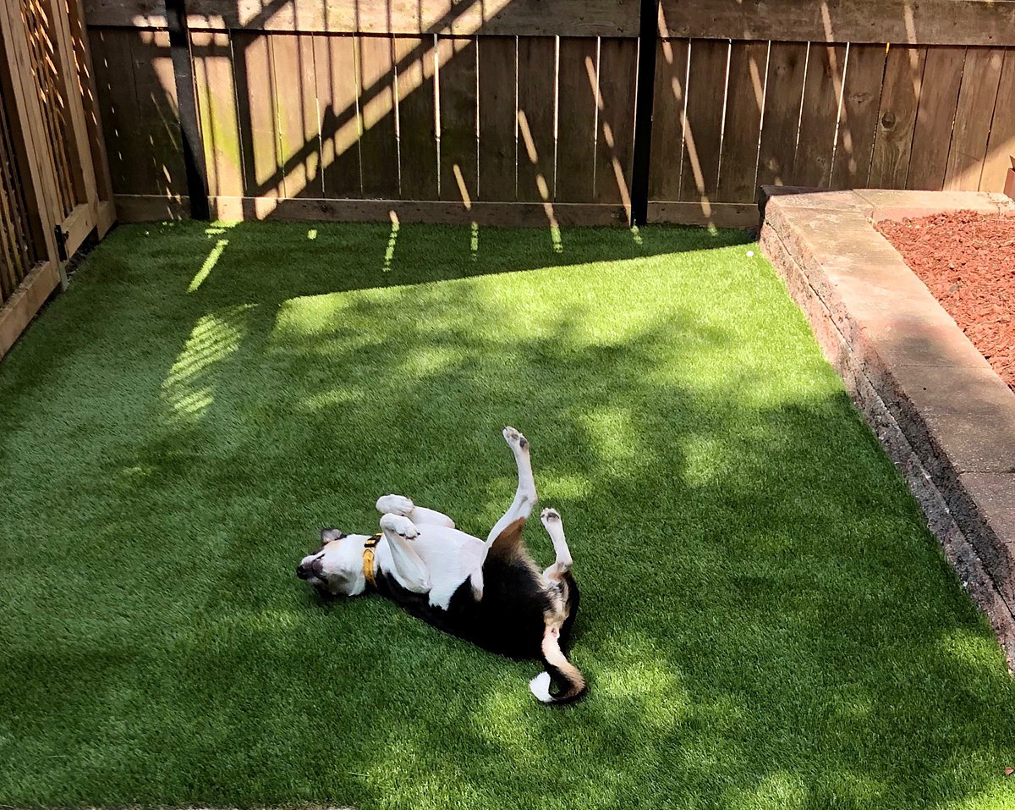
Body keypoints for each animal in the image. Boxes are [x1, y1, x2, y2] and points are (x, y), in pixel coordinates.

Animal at [296, 427, 584, 704]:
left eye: (316, 552)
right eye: (323, 588)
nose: (300, 571)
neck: (372, 558)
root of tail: (544, 636)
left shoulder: (443, 522)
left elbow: (386, 507)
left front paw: (399, 505)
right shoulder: (417, 580)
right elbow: (385, 522)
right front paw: (401, 524)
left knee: (560, 563)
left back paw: (550, 519)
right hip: (495, 555)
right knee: (527, 498)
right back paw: (517, 445)